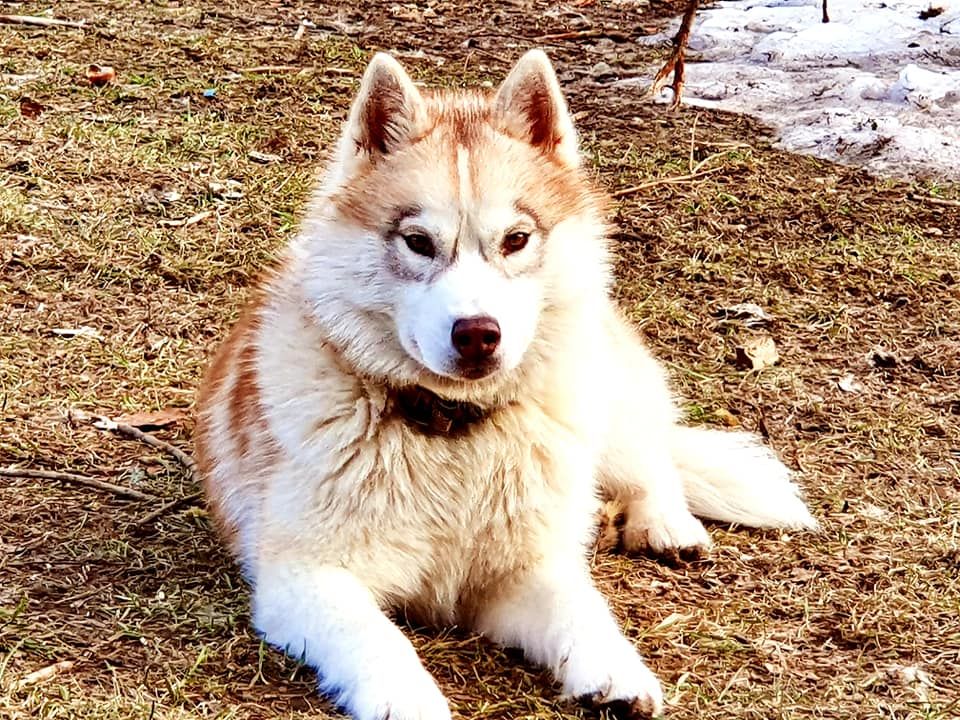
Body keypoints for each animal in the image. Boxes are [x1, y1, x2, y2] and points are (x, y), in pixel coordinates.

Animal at [197, 47, 816, 716]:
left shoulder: (523, 572)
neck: (452, 431)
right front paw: (407, 696)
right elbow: (376, 635)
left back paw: (665, 522)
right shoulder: (305, 575)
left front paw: (616, 669)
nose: (477, 333)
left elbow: (579, 608)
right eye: (418, 242)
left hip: (603, 400)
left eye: (516, 239)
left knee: (653, 457)